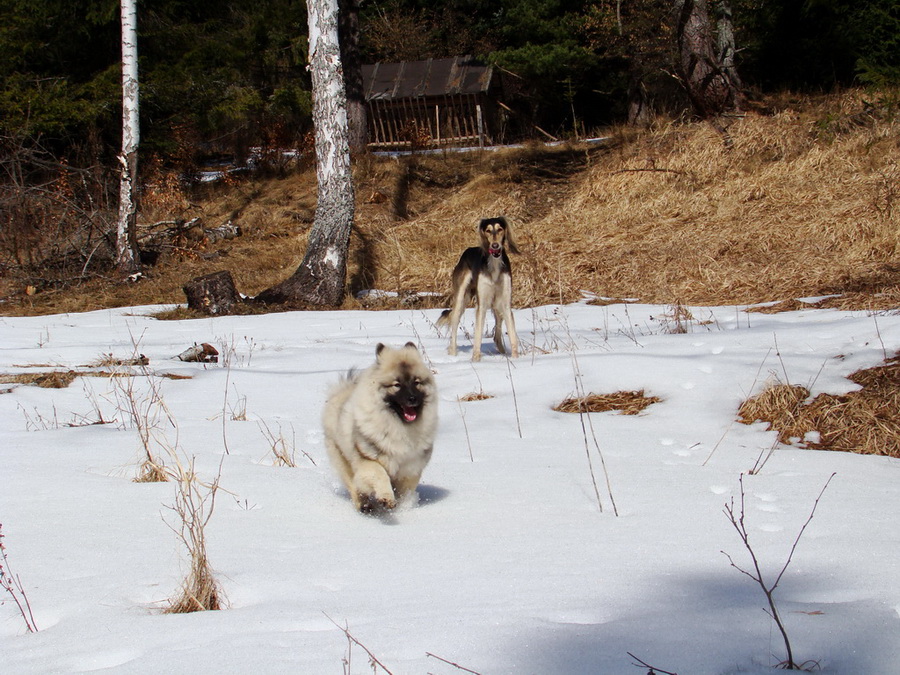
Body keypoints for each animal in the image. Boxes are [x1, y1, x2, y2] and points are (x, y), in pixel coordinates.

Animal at [322, 344, 438, 512]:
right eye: (397, 385)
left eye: (416, 382)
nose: (412, 398)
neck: (398, 426)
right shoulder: (368, 461)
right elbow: (380, 475)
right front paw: (386, 498)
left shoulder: (410, 468)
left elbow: (405, 491)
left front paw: (402, 508)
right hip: (342, 458)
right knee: (354, 485)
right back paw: (364, 505)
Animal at [438, 219, 520, 362]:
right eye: (488, 230)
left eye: (500, 229)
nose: (495, 245)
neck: (494, 263)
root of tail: (467, 250)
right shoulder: (481, 304)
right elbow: (478, 335)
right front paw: (476, 360)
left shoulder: (505, 303)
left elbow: (512, 335)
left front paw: (516, 359)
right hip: (460, 298)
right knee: (454, 322)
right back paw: (453, 354)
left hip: (497, 304)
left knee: (497, 332)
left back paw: (502, 351)